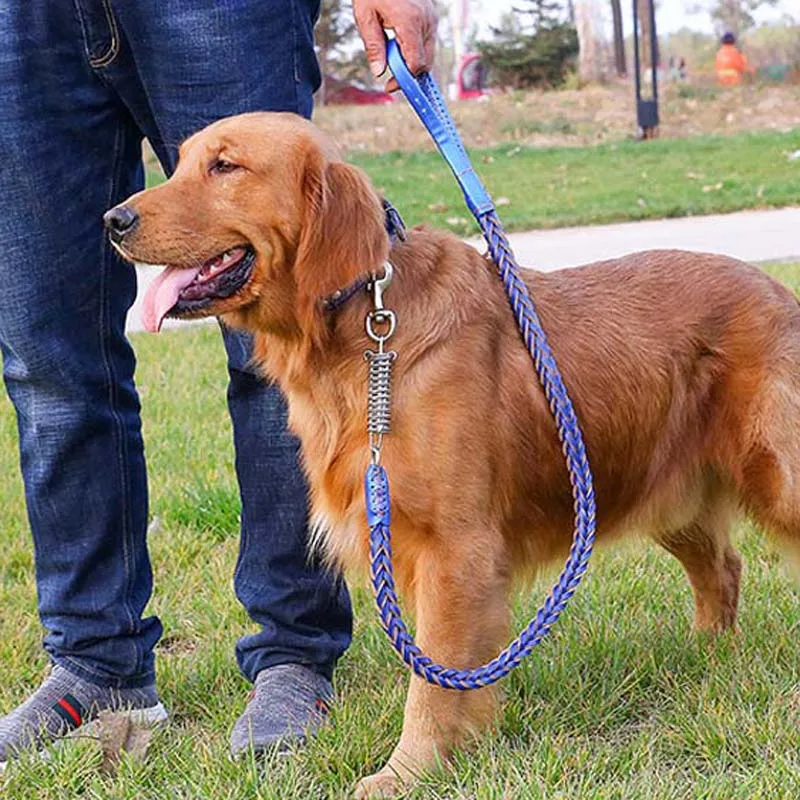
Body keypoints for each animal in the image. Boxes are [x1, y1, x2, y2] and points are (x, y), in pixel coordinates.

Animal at [106, 114, 800, 800]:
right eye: (180, 163)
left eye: (225, 166)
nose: (114, 219)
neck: (363, 331)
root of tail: (777, 290)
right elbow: (453, 673)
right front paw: (462, 747)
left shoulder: (455, 550)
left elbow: (432, 682)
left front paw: (406, 772)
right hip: (653, 491)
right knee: (724, 567)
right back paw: (709, 655)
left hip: (773, 479)